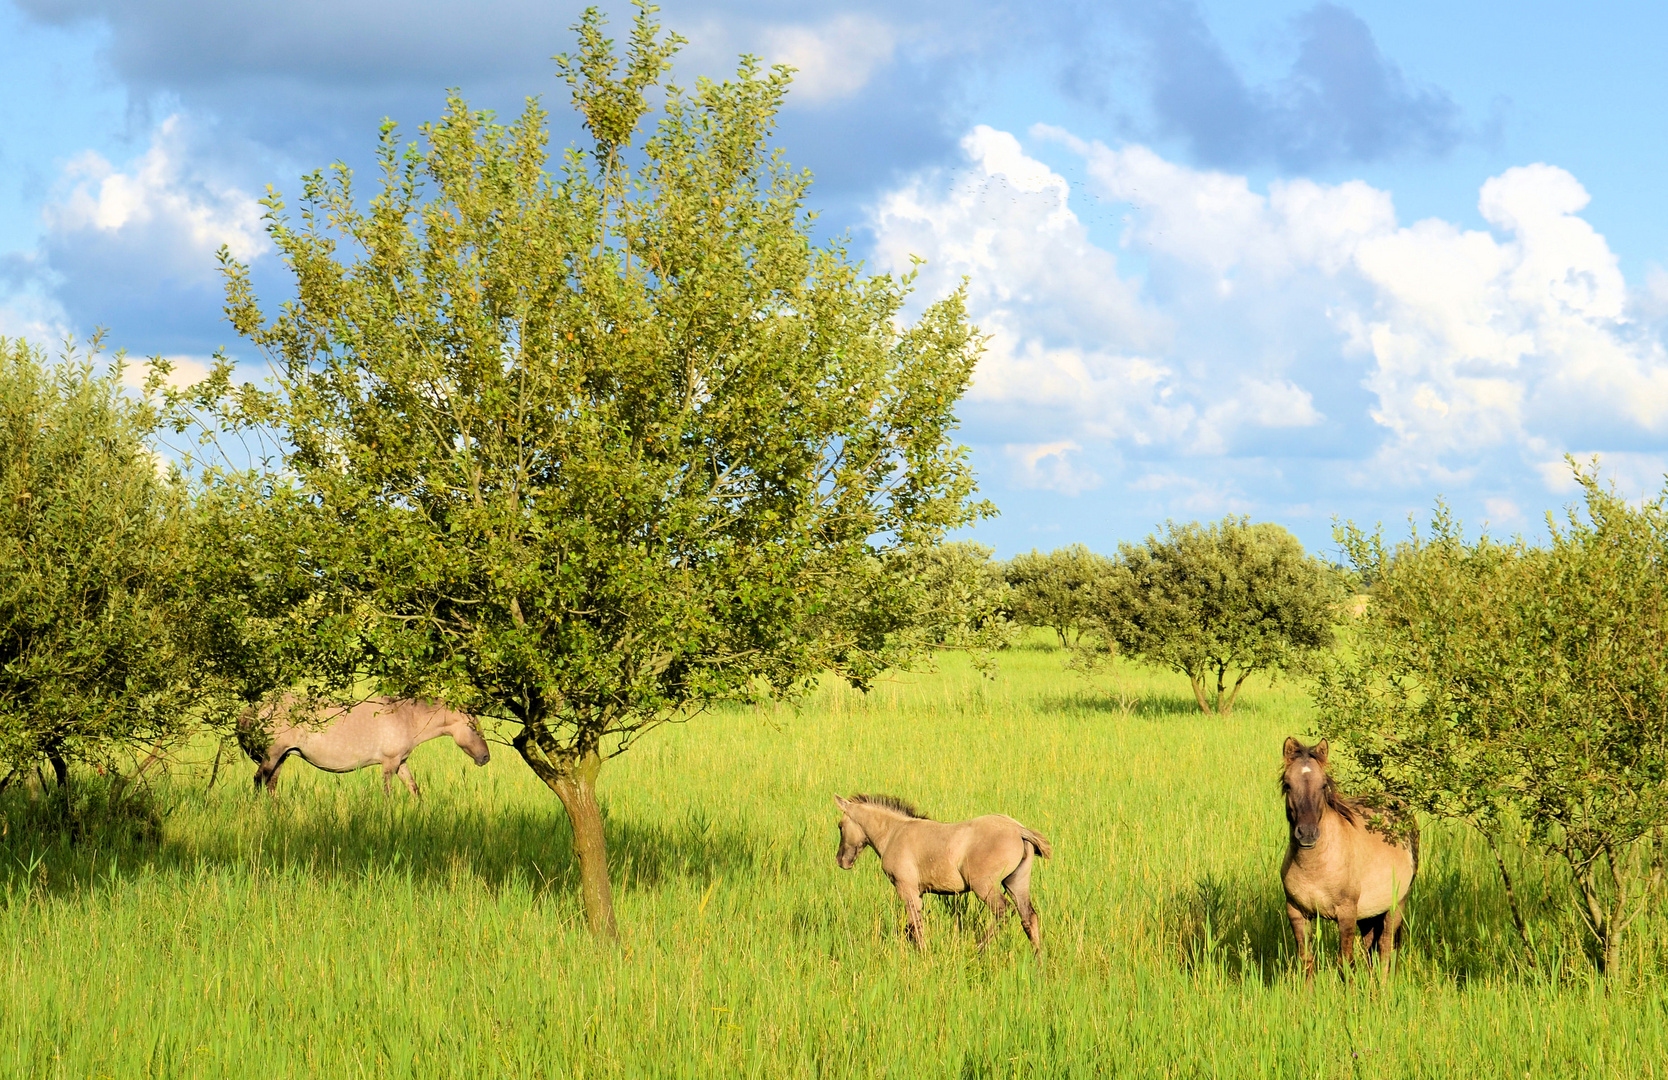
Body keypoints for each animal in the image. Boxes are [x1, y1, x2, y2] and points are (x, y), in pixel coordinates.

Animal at [240, 697, 487, 797]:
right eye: (473, 728)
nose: (485, 757)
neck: (407, 716)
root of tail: (253, 709)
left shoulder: (401, 762)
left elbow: (414, 788)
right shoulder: (389, 763)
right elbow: (387, 793)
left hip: (281, 757)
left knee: (271, 785)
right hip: (273, 755)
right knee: (259, 781)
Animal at [834, 791, 1054, 961]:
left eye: (840, 826)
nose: (841, 861)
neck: (894, 833)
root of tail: (1019, 830)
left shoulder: (906, 888)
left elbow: (915, 924)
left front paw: (923, 955)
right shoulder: (917, 892)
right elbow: (912, 926)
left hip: (985, 886)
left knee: (1004, 911)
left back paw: (978, 949)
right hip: (1016, 882)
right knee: (1029, 917)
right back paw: (1038, 962)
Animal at [1274, 734, 1421, 981]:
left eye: (1323, 785)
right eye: (1287, 784)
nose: (1307, 833)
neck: (1315, 866)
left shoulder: (1346, 913)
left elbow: (1346, 963)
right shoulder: (1297, 913)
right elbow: (1306, 963)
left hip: (1396, 904)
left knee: (1385, 949)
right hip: (1369, 914)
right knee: (1372, 948)